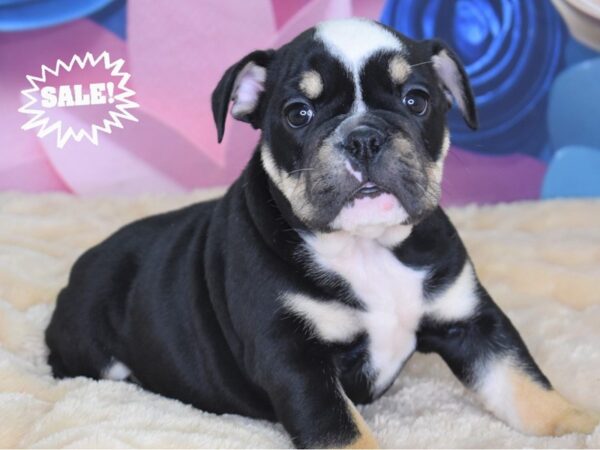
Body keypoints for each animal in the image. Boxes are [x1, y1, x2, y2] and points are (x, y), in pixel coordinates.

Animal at [44, 18, 596, 450]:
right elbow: (343, 431)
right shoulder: (296, 362)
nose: (364, 136)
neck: (367, 246)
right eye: (298, 113)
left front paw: (579, 424)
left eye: (417, 101)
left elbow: (524, 383)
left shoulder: (473, 323)